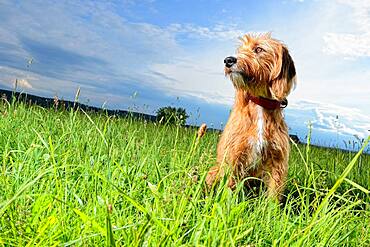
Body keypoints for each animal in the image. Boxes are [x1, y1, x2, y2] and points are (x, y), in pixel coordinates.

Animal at [207, 32, 296, 200]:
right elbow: (229, 189)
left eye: (259, 49)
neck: (260, 104)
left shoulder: (277, 162)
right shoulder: (233, 157)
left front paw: (270, 208)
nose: (228, 60)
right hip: (214, 171)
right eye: (241, 49)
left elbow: (273, 195)